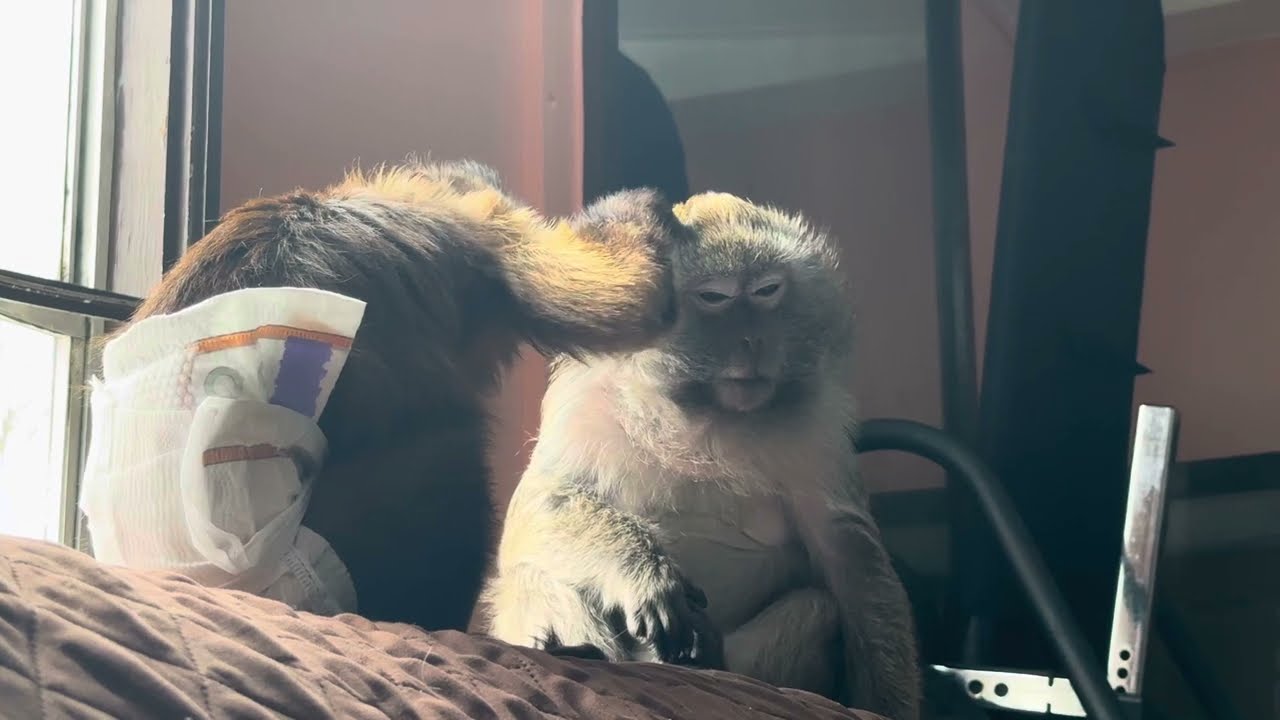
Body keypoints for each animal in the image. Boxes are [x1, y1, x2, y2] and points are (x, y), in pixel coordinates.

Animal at [481, 192, 921, 719]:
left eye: (768, 290)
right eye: (715, 297)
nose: (752, 341)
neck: (699, 412)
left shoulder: (819, 424)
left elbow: (849, 554)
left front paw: (887, 703)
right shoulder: (586, 397)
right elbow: (543, 502)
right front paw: (643, 572)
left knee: (816, 609)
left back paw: (705, 658)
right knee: (531, 568)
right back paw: (578, 650)